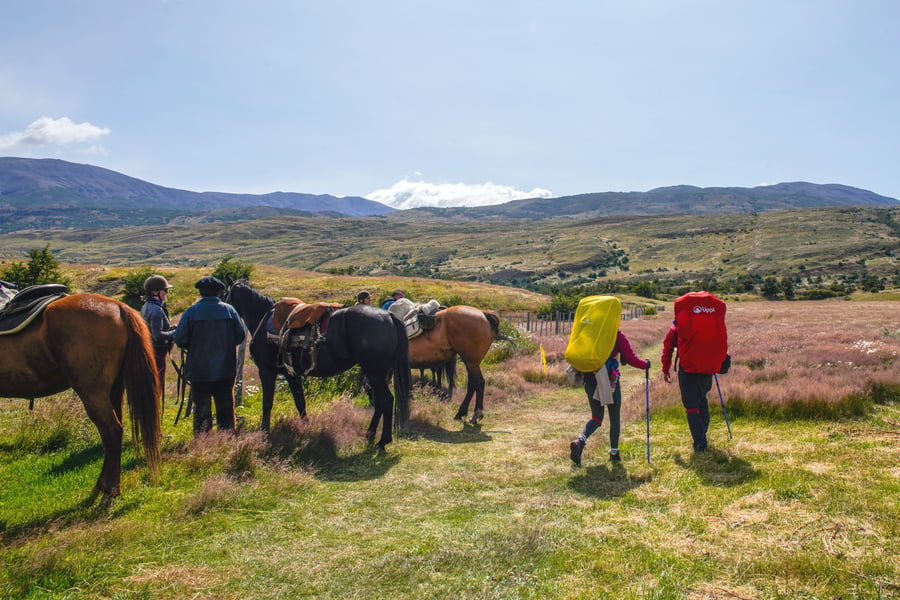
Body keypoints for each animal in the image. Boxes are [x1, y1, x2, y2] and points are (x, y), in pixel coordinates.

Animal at [0, 292, 160, 504]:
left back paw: (109, 488)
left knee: (111, 431)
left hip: (92, 392)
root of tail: (118, 307)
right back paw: (104, 486)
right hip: (114, 389)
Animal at [225, 278, 412, 448]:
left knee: (385, 400)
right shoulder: (290, 374)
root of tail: (389, 316)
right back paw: (370, 434)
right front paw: (305, 427)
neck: (263, 319)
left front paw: (264, 431)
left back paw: (382, 441)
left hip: (375, 371)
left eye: (226, 294)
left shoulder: (266, 370)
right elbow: (300, 402)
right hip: (379, 372)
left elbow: (267, 403)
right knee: (379, 400)